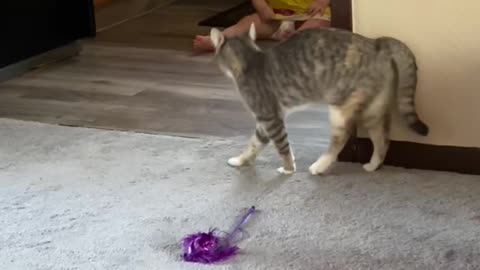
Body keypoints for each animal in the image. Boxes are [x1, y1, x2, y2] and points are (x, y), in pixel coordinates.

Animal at [212, 23, 430, 175]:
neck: (250, 60)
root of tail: (377, 42)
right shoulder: (264, 122)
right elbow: (253, 144)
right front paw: (240, 160)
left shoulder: (269, 117)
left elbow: (282, 147)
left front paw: (288, 169)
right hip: (373, 110)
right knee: (382, 139)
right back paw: (373, 165)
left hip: (341, 107)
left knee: (341, 138)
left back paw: (319, 166)